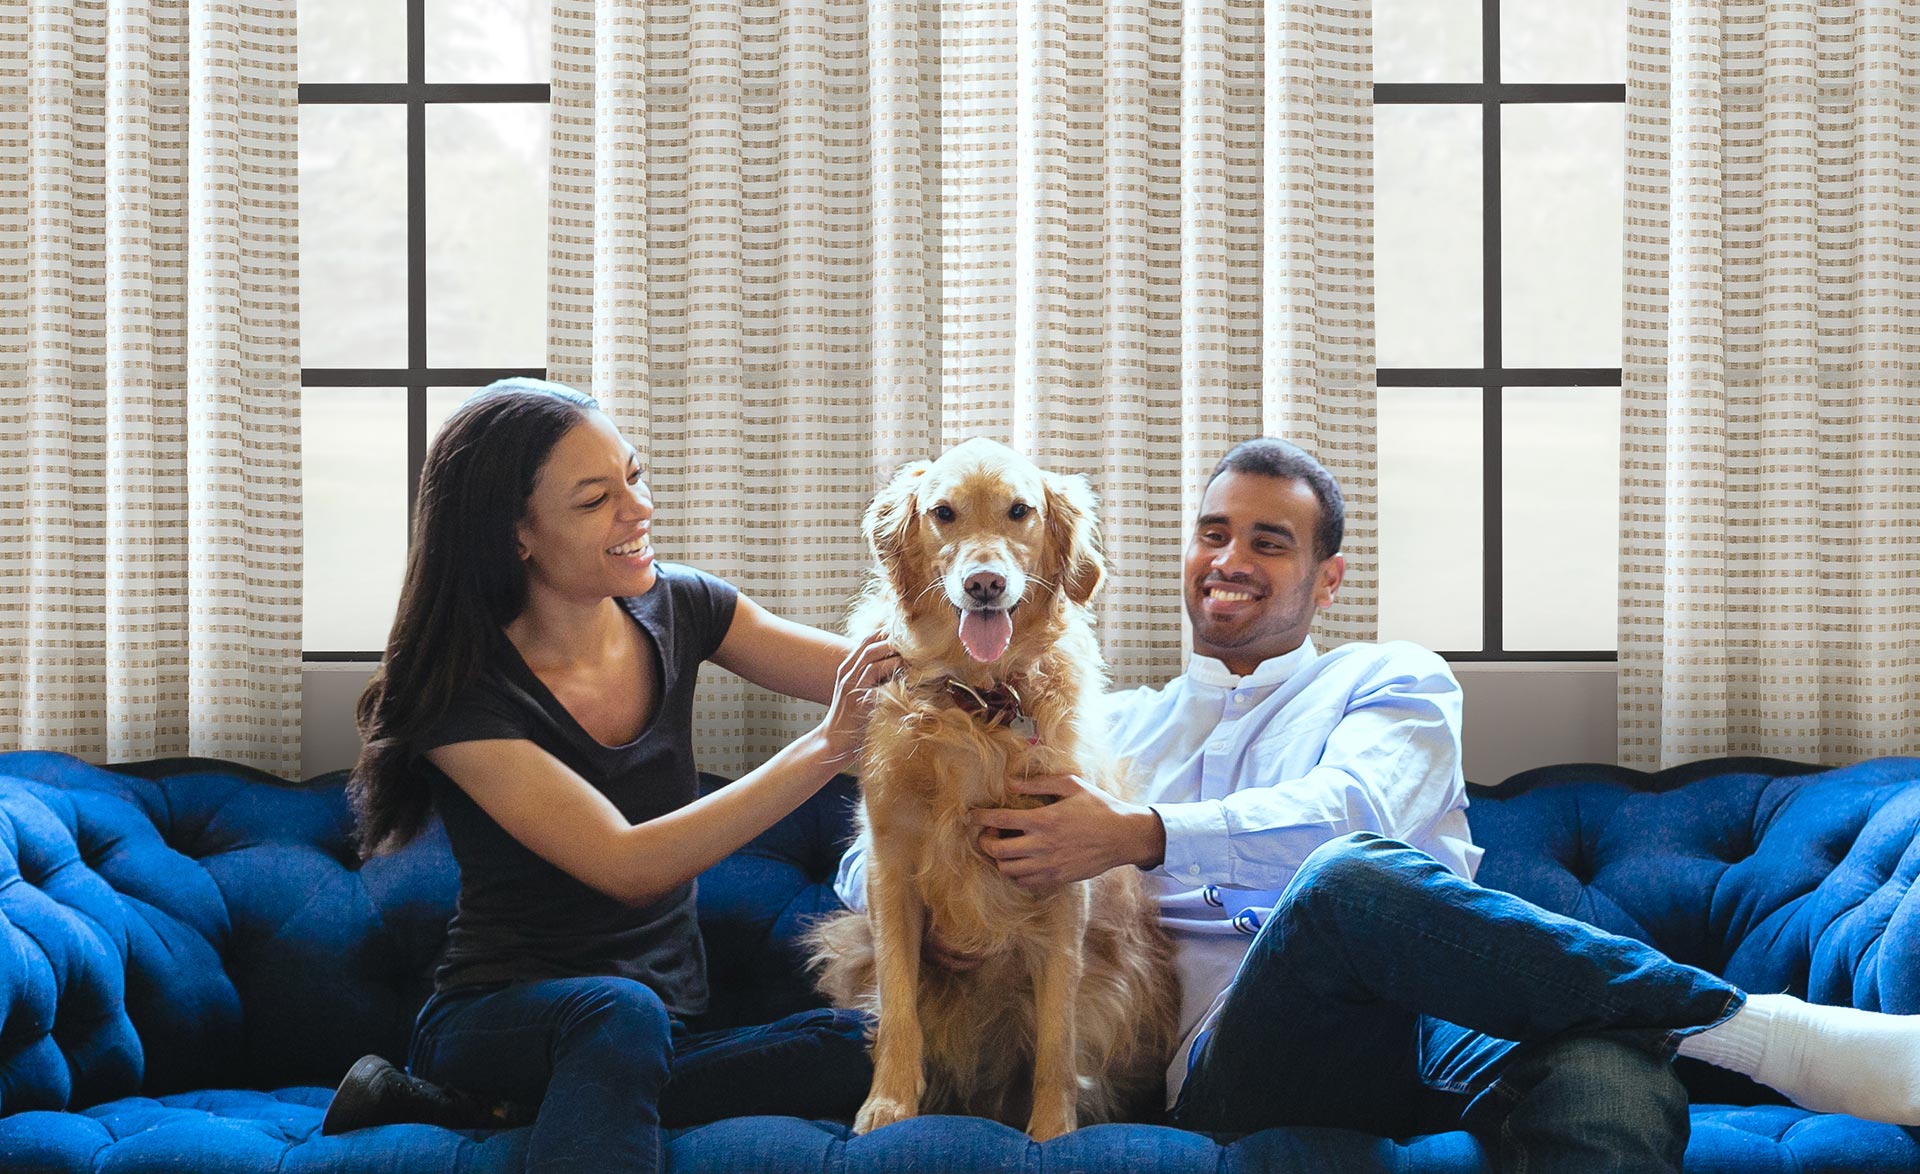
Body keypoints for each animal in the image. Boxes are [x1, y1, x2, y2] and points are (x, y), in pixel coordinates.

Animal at [802, 438, 1175, 1137]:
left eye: (1020, 511)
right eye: (943, 513)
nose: (984, 584)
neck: (980, 701)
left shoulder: (1062, 877)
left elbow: (1057, 1035)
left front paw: (1053, 1132)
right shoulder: (890, 868)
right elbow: (899, 1005)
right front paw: (889, 1104)